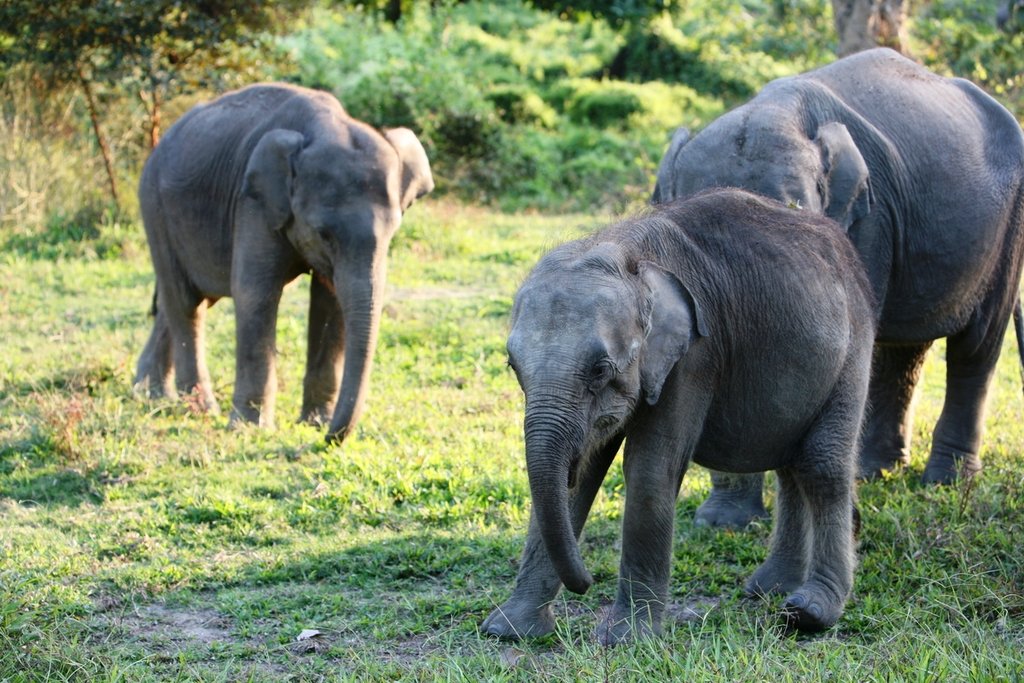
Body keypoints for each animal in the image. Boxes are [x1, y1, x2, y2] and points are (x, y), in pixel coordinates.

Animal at [134, 83, 433, 443]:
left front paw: (315, 421)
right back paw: (199, 409)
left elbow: (331, 301)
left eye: (393, 232)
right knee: (185, 301)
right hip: (155, 208)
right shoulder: (255, 204)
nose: (329, 439)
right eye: (323, 234)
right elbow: (256, 293)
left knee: (184, 299)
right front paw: (249, 429)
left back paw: (150, 396)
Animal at [481, 188, 876, 644]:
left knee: (821, 465)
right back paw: (771, 589)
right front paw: (508, 630)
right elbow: (579, 477)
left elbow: (649, 469)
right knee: (790, 465)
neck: (625, 251)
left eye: (599, 370)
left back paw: (809, 612)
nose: (586, 583)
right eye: (513, 366)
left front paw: (625, 639)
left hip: (854, 347)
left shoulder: (695, 356)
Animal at [652, 47, 1024, 528]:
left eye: (791, 213)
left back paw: (944, 482)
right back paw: (874, 471)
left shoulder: (869, 220)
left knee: (975, 346)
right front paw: (724, 524)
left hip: (1007, 226)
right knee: (904, 351)